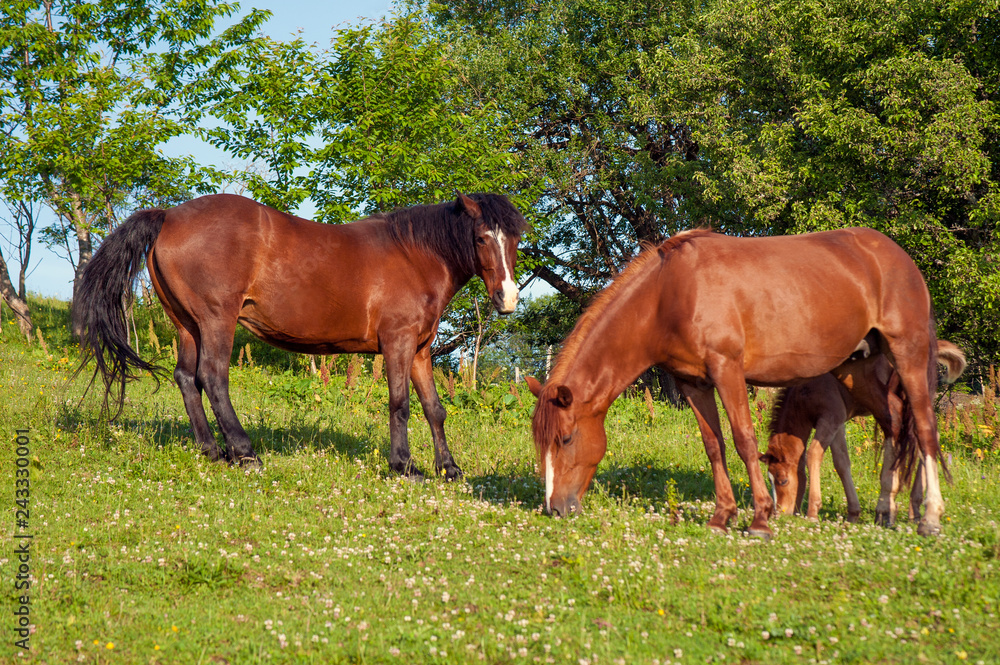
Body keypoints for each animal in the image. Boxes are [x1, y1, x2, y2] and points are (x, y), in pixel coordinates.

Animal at [74, 193, 528, 478]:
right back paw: (245, 453)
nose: (507, 298)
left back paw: (213, 452)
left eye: (516, 239)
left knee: (187, 379)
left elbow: (435, 409)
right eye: (482, 238)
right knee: (213, 378)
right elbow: (399, 405)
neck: (414, 254)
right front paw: (405, 466)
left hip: (188, 326)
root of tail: (169, 215)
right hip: (216, 321)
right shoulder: (397, 344)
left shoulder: (420, 349)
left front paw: (449, 469)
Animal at [760, 342, 964, 524]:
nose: (778, 514)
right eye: (769, 479)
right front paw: (853, 513)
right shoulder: (838, 423)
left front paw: (812, 512)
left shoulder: (830, 418)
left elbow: (813, 454)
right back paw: (914, 509)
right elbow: (841, 462)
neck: (805, 391)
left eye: (783, 481)